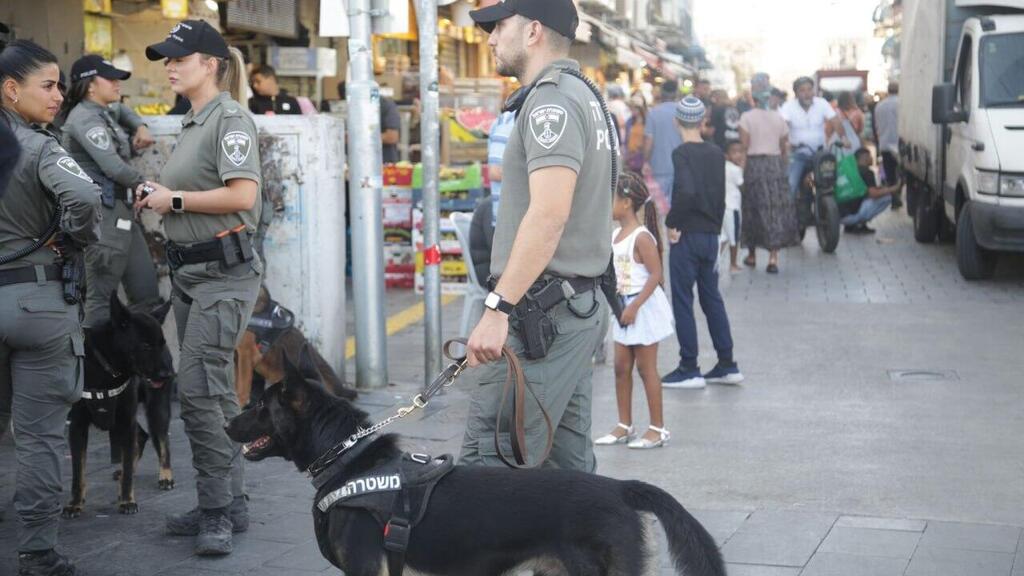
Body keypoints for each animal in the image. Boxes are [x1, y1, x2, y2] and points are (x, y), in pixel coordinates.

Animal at [63, 293, 178, 518]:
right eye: (145, 345)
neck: (107, 368)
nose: (167, 374)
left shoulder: (126, 421)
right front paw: (75, 503)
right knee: (141, 437)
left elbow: (127, 470)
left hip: (155, 410)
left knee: (161, 441)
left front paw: (127, 500)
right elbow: (77, 472)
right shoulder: (78, 426)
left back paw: (165, 475)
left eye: (161, 343)